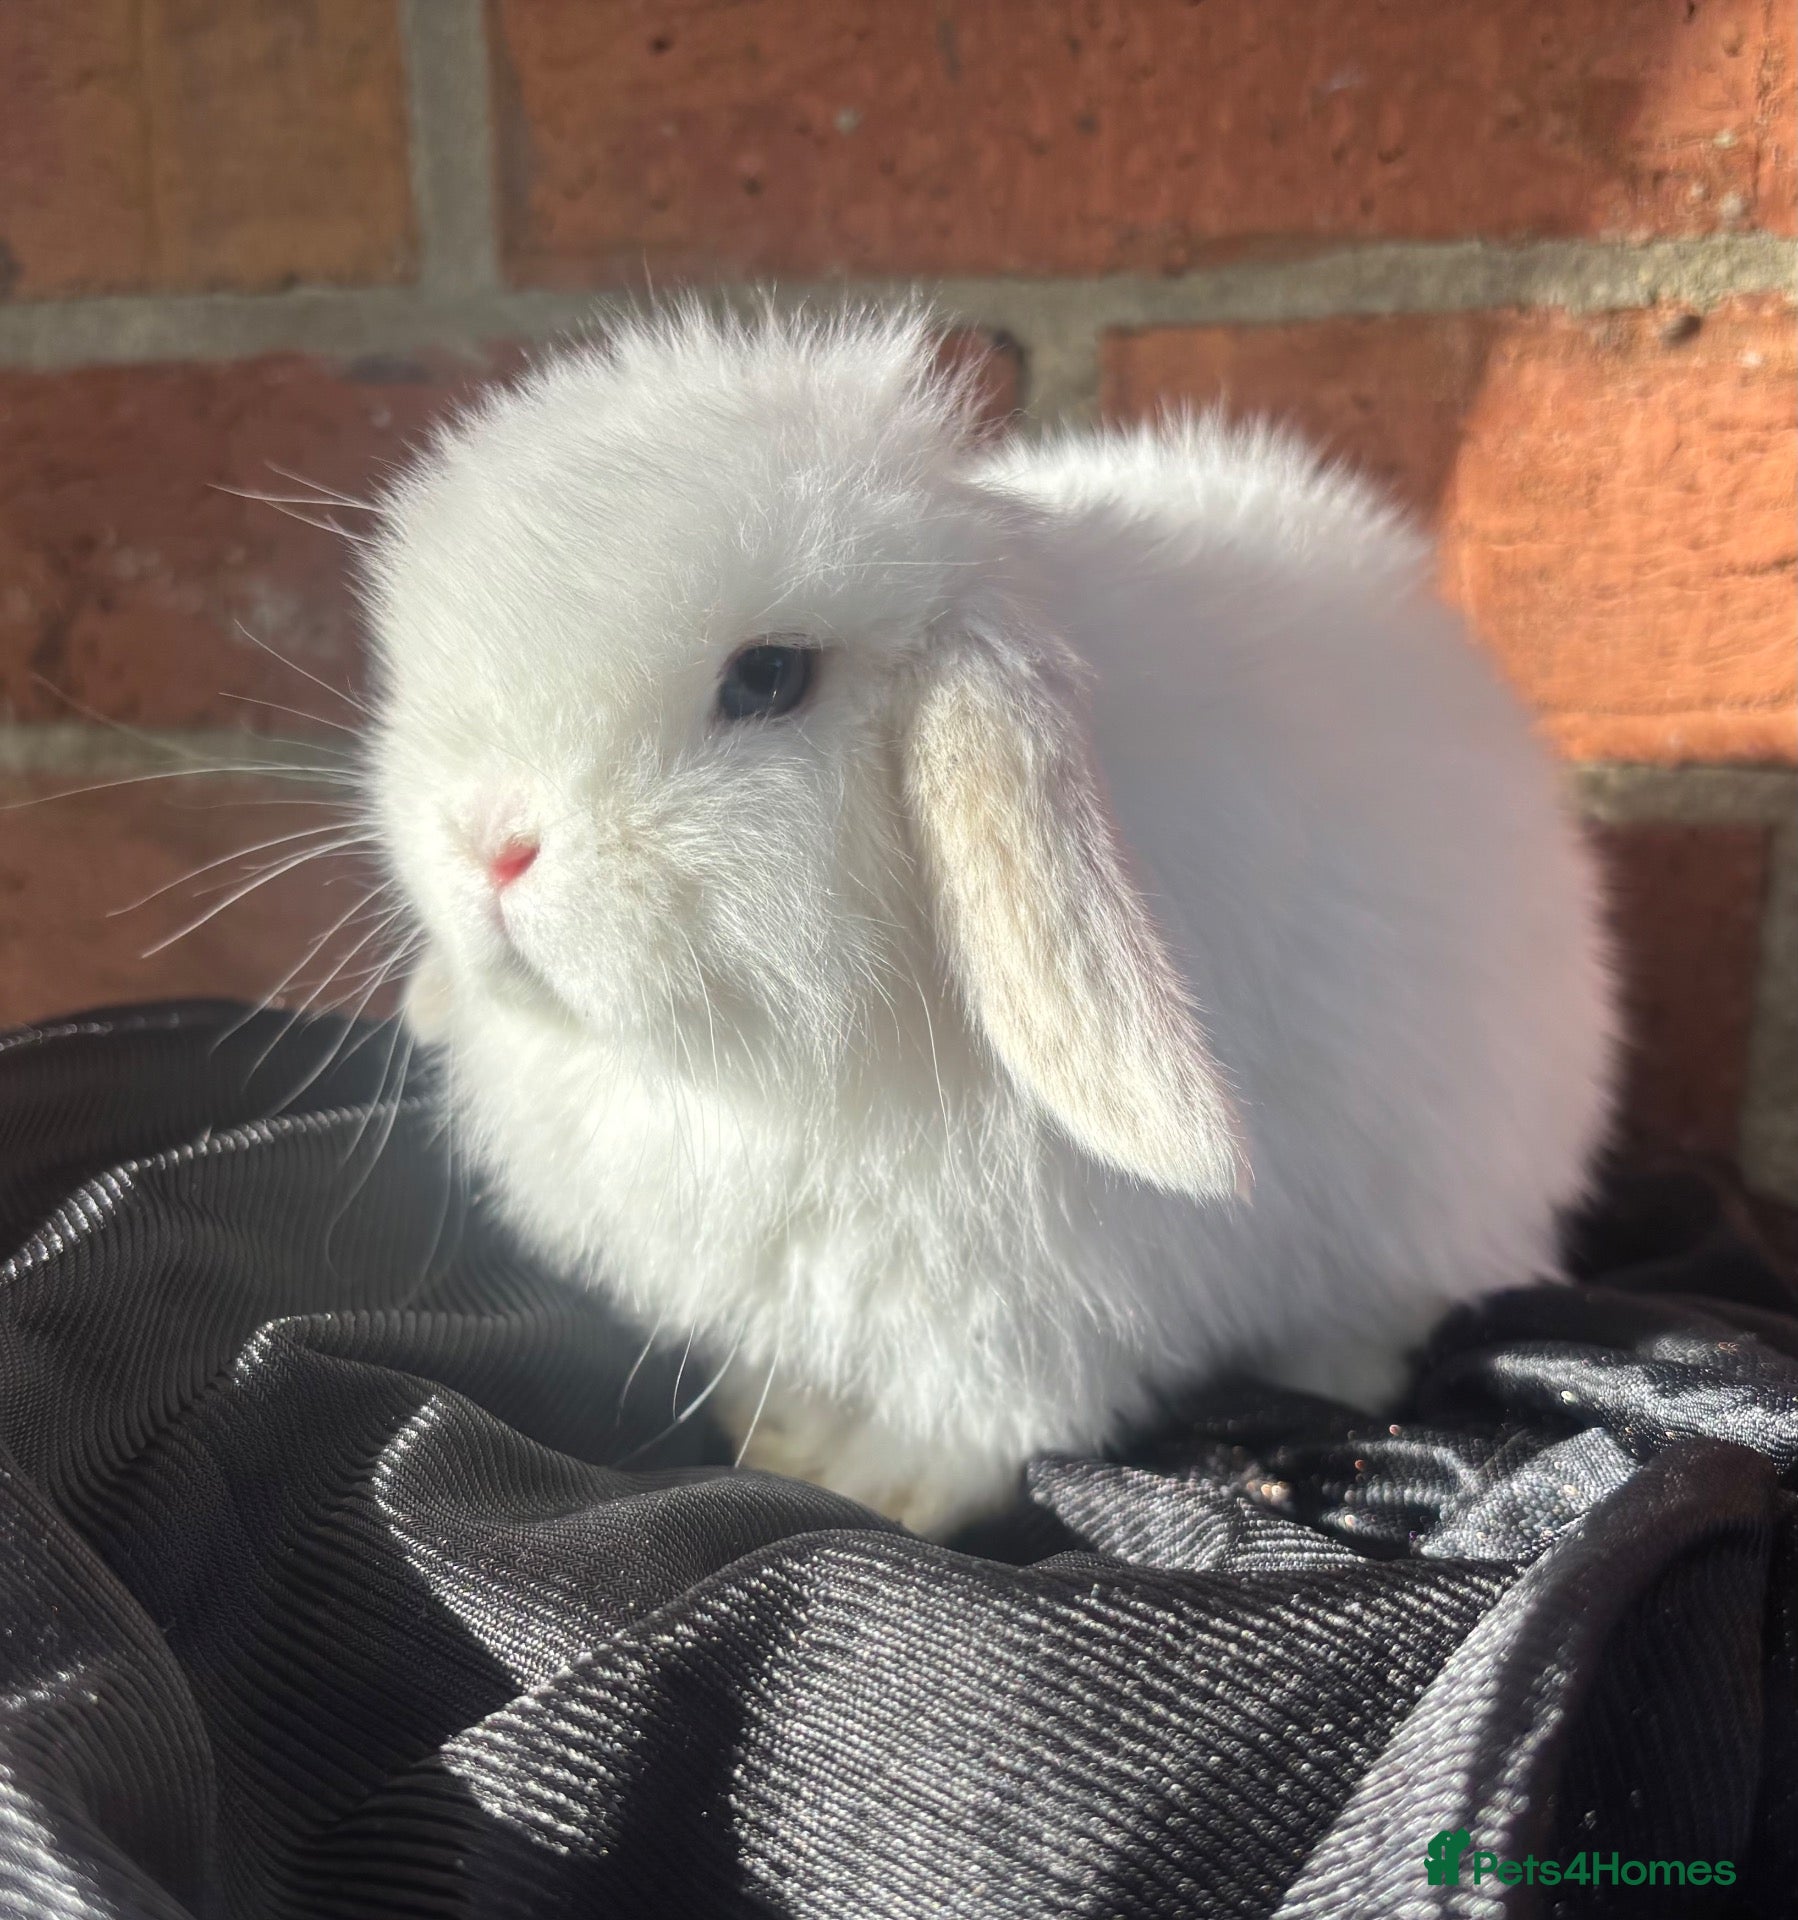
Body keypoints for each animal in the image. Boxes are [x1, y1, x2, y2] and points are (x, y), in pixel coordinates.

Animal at [363, 302, 1617, 1539]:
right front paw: (780, 1437)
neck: (746, 1067)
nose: (489, 844)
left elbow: (979, 1416)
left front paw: (883, 1491)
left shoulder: (1024, 1318)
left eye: (769, 678)